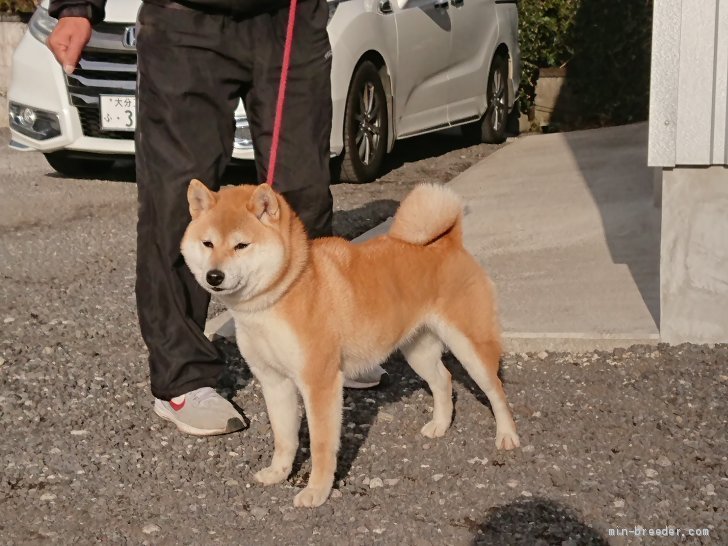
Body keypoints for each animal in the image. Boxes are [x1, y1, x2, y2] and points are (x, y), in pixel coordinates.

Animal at [183, 180, 524, 506]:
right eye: (208, 243)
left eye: (241, 245)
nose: (214, 276)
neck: (280, 295)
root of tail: (449, 240)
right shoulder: (274, 381)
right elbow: (284, 437)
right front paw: (279, 472)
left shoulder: (319, 383)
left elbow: (321, 445)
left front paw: (316, 492)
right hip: (418, 350)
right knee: (444, 379)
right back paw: (440, 424)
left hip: (470, 347)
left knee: (495, 390)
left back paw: (507, 435)